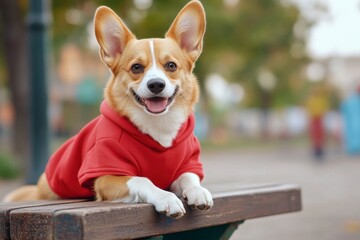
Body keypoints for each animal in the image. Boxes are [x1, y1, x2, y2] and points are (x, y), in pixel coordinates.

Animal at [2, 0, 212, 218]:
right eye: (136, 67)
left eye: (171, 66)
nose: (156, 85)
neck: (157, 125)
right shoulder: (106, 176)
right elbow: (142, 180)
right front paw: (166, 198)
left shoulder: (189, 164)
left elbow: (188, 177)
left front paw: (198, 191)